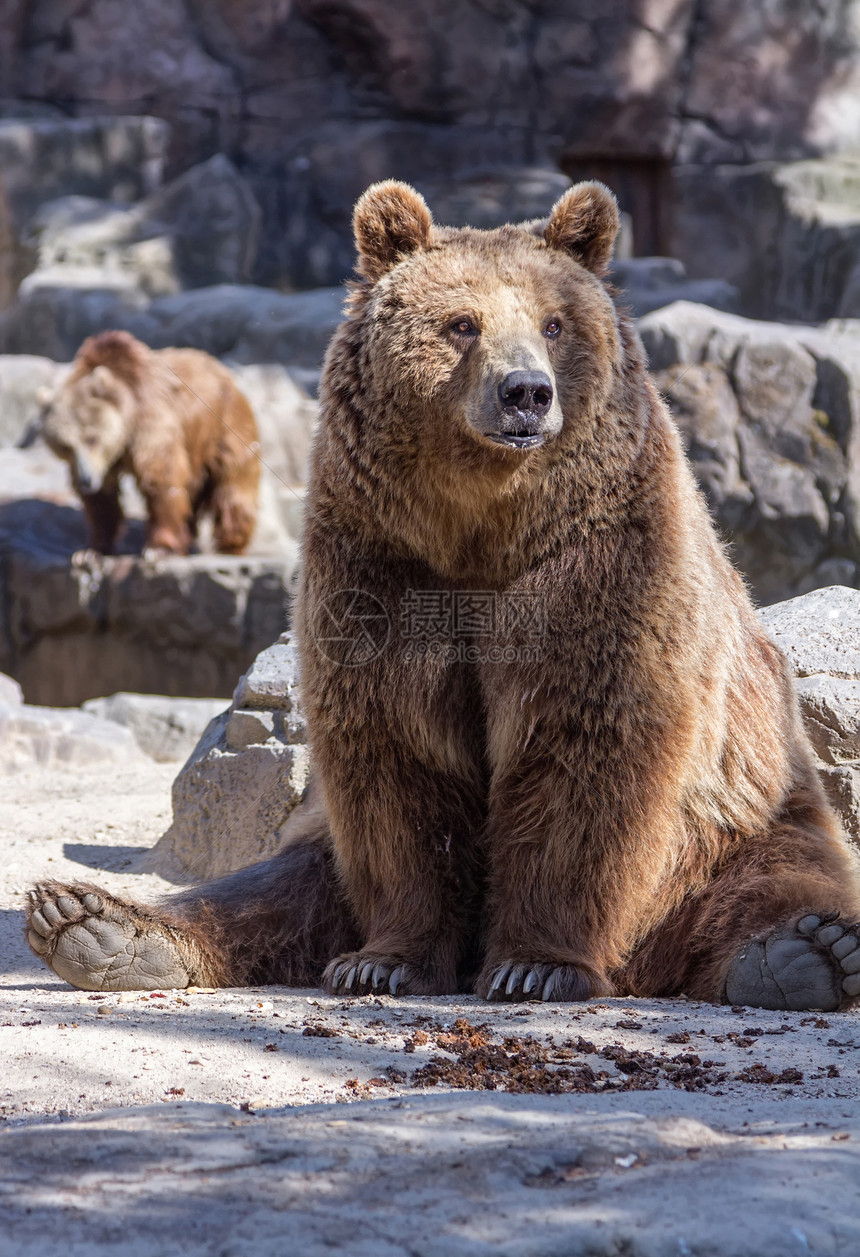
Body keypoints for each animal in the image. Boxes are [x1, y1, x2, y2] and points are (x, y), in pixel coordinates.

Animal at [36, 329, 261, 555]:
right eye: (65, 446)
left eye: (92, 438)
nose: (87, 479)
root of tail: (224, 372)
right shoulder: (103, 462)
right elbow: (103, 500)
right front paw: (92, 550)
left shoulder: (150, 420)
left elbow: (161, 477)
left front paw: (158, 547)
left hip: (225, 428)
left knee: (232, 486)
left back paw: (230, 542)